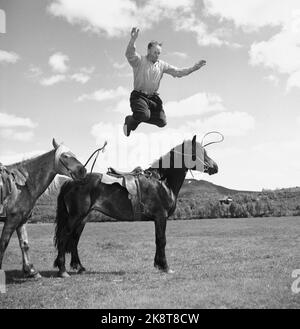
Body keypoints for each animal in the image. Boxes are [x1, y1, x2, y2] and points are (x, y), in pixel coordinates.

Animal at [0, 138, 86, 276]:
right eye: (65, 156)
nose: (83, 171)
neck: (23, 185)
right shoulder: (11, 220)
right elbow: (3, 244)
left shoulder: (21, 220)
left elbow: (24, 244)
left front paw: (31, 270)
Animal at [54, 135, 218, 276]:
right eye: (199, 152)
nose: (215, 167)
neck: (162, 182)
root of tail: (71, 181)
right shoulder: (161, 217)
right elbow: (162, 240)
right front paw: (165, 267)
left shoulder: (157, 219)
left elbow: (157, 240)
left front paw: (158, 265)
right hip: (76, 216)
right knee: (64, 237)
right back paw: (62, 270)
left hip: (82, 219)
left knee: (74, 239)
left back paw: (79, 267)